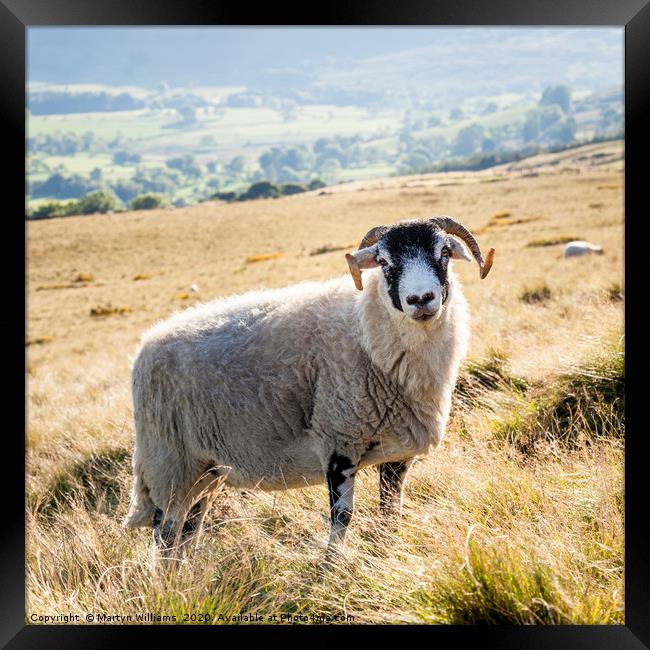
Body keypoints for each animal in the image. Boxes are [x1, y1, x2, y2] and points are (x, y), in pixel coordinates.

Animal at [124, 216, 494, 552]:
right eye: (384, 261)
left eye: (443, 252)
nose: (420, 299)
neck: (366, 331)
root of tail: (145, 346)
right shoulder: (338, 441)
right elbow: (342, 518)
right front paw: (331, 568)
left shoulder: (398, 453)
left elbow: (390, 513)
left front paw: (388, 551)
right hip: (170, 463)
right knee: (165, 533)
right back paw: (171, 581)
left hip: (206, 470)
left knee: (188, 530)